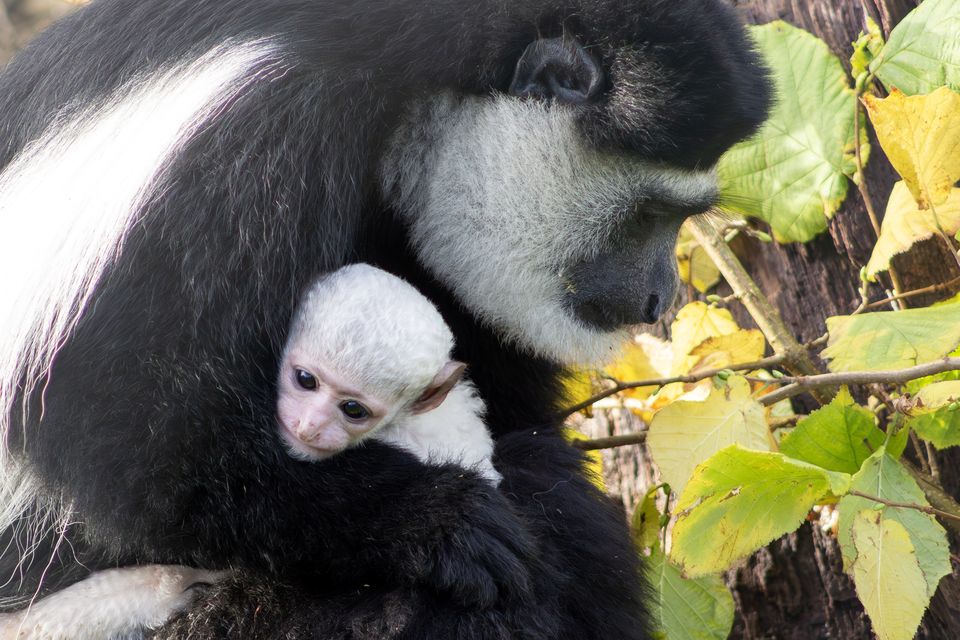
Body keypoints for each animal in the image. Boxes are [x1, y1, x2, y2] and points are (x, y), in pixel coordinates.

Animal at [0, 1, 770, 637]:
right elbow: (132, 439)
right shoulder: (241, 151)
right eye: (651, 213)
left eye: (679, 217)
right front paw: (437, 522)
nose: (659, 296)